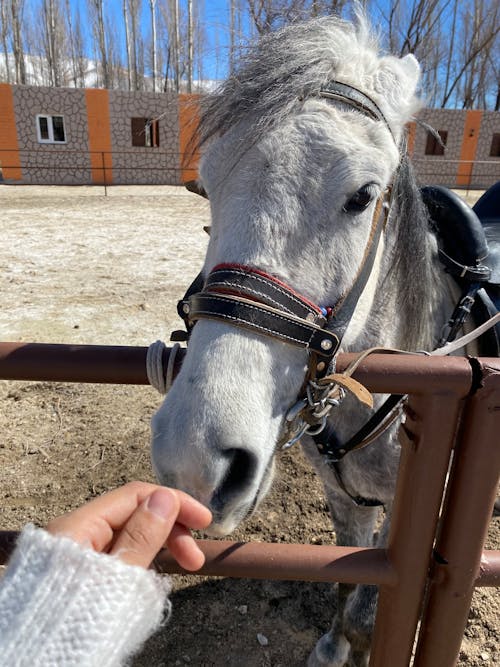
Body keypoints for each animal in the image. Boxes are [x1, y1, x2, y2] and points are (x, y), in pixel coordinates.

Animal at [151, 11, 472, 667]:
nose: (195, 459)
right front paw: (331, 646)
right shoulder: (344, 502)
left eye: (364, 195)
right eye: (206, 189)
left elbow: (369, 613)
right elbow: (350, 582)